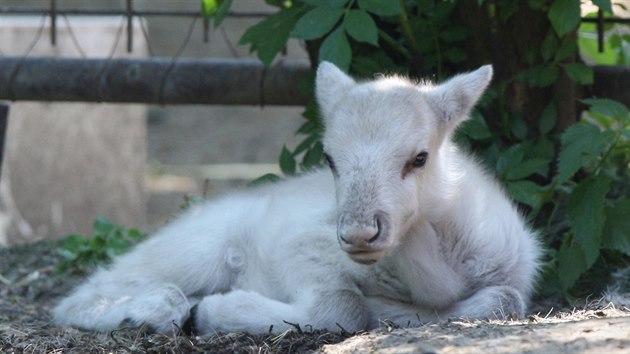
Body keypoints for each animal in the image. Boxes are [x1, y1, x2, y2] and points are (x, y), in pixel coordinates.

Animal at [54, 63, 540, 334]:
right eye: (329, 158)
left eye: (420, 157)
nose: (358, 234)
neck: (438, 273)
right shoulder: (301, 245)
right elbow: (345, 305)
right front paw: (216, 311)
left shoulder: (512, 274)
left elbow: (505, 299)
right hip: (195, 247)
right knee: (82, 294)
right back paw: (150, 313)